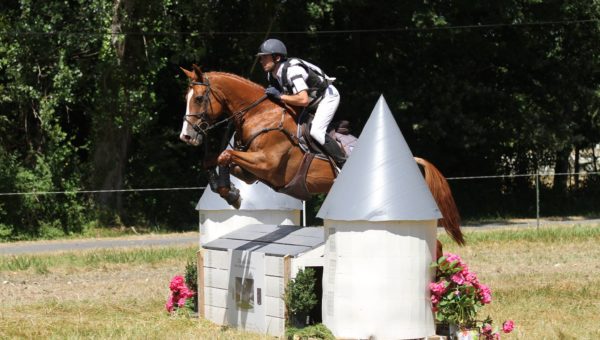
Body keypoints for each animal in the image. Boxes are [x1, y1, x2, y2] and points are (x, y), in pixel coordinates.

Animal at [178, 65, 464, 255]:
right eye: (186, 98)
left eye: (200, 98)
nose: (186, 136)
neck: (260, 115)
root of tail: (416, 161)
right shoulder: (252, 171)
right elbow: (218, 160)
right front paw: (229, 192)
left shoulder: (267, 165)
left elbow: (223, 155)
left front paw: (230, 194)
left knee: (435, 244)